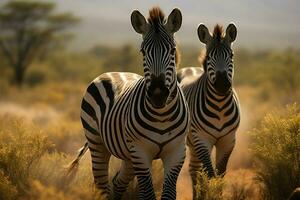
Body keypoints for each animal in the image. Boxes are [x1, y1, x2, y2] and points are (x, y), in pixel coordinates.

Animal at [69, 7, 189, 199]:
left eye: (172, 50)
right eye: (143, 52)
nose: (157, 95)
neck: (162, 116)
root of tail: (112, 72)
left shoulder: (176, 152)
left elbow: (169, 194)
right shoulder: (140, 152)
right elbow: (147, 194)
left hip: (128, 155)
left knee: (117, 182)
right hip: (97, 143)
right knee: (101, 185)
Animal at [177, 23, 240, 195]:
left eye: (231, 55)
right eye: (209, 56)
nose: (222, 85)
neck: (219, 106)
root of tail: (190, 68)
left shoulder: (228, 140)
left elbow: (220, 176)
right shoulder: (201, 138)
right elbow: (210, 176)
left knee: (195, 170)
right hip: (193, 141)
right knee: (196, 171)